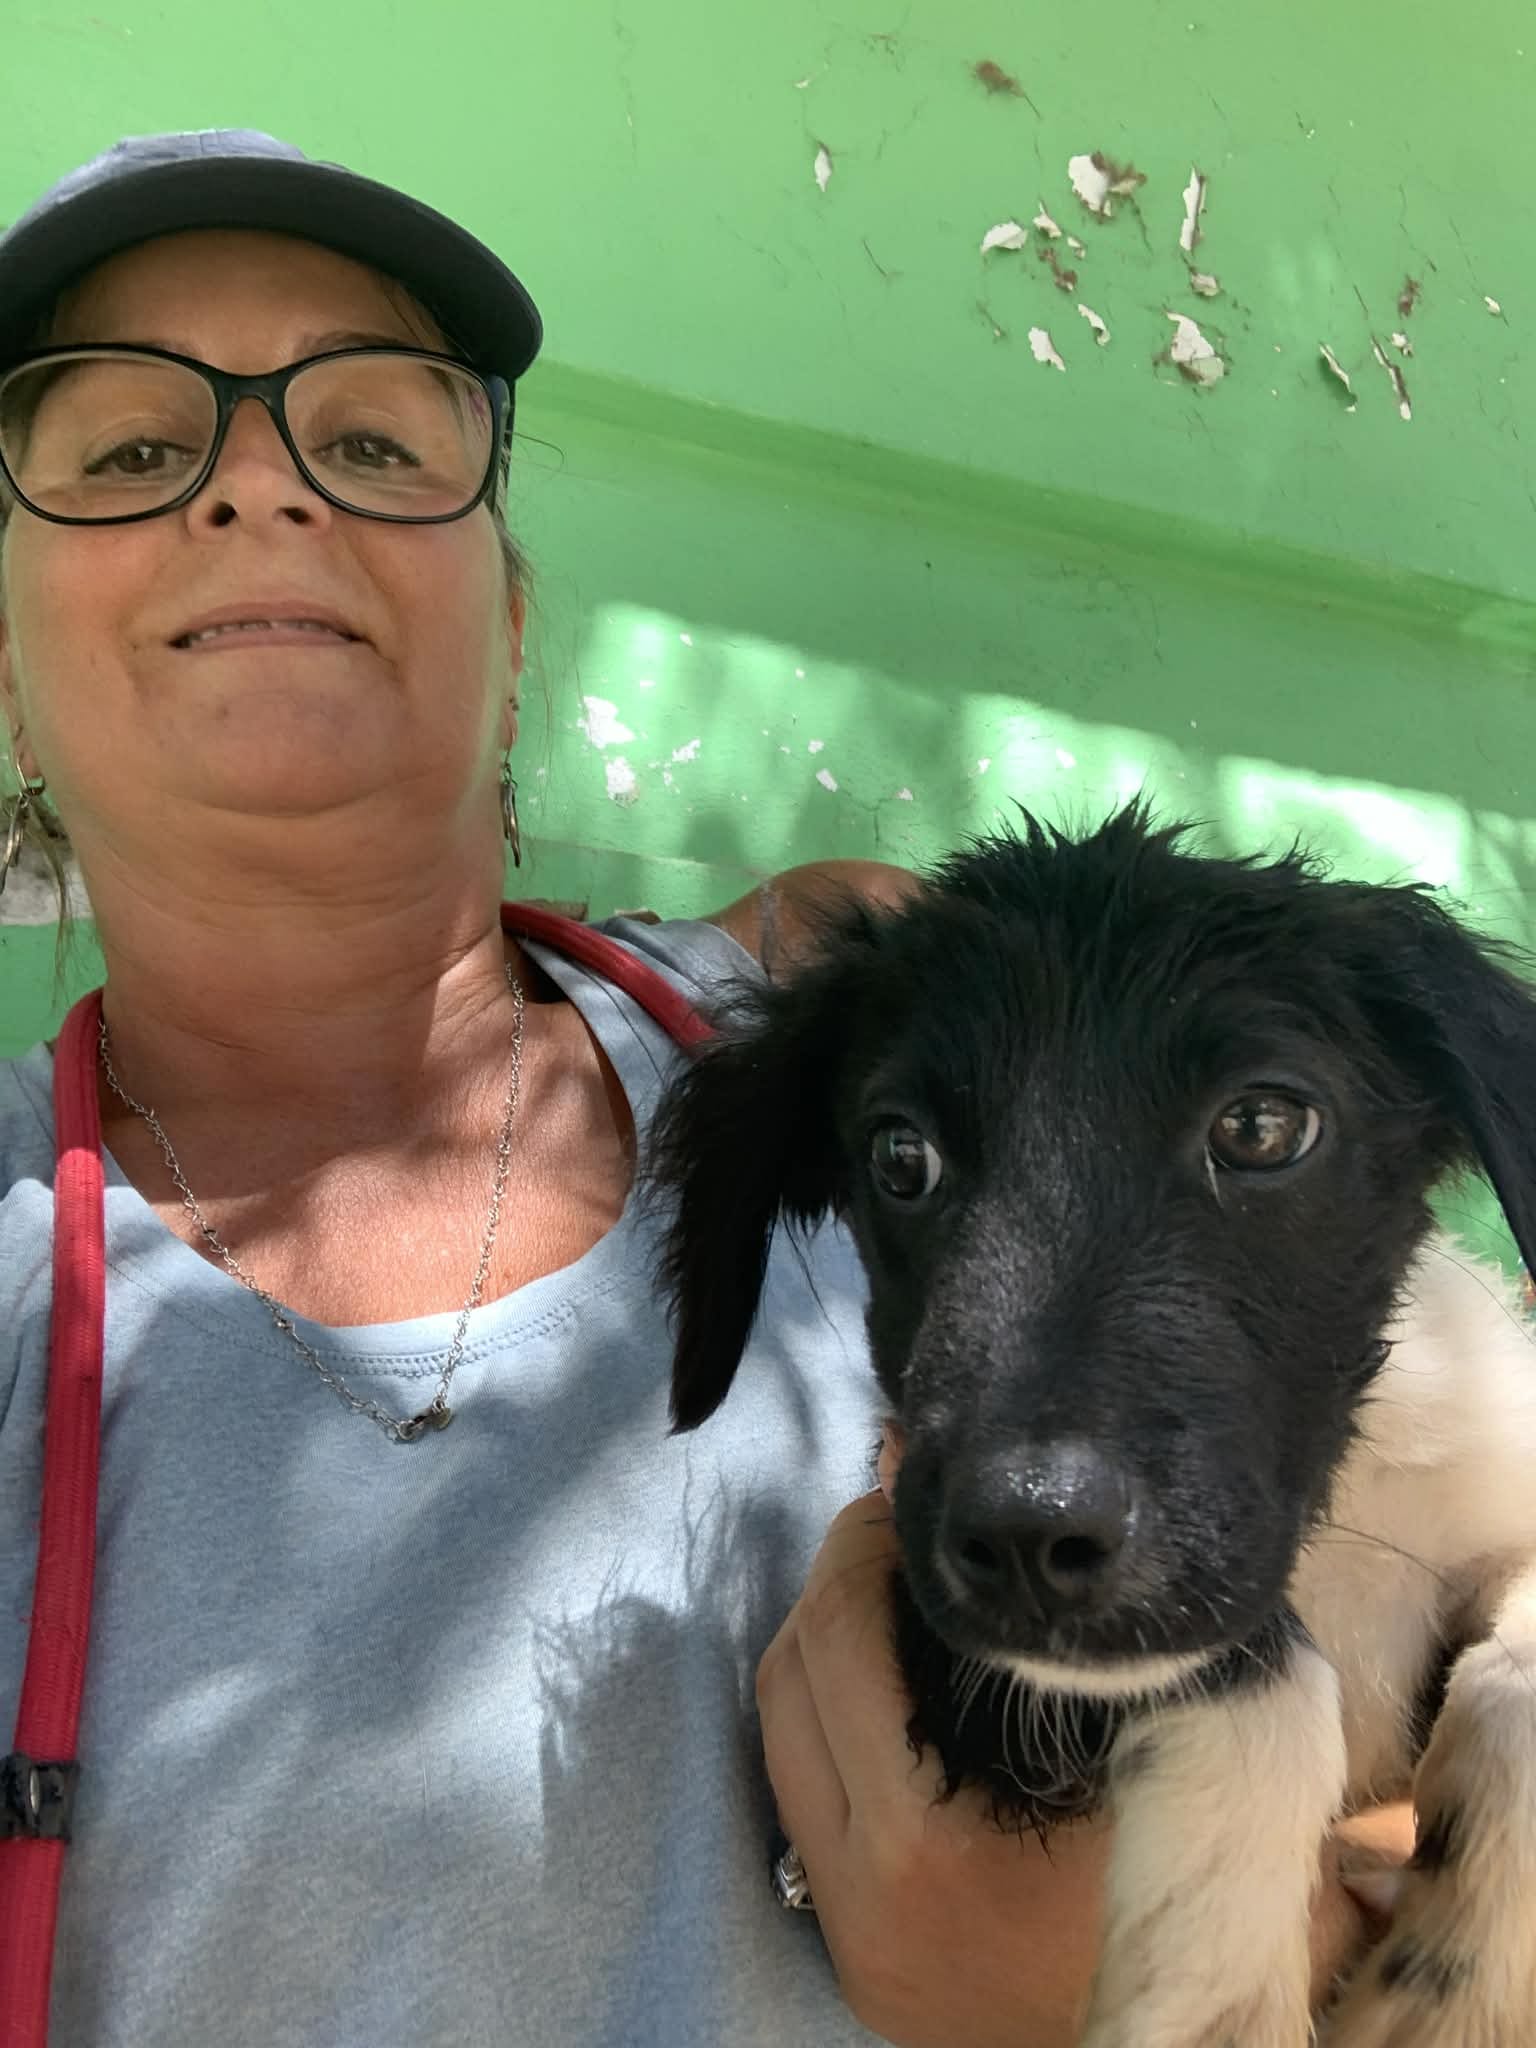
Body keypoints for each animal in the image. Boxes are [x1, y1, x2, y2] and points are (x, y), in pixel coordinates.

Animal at [648, 807, 1536, 2048]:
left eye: (1262, 1124)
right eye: (900, 1154)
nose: (1028, 1533)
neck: (1337, 1505)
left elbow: (1518, 1674)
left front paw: (1451, 1996)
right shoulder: (963, 1648)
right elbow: (1257, 1673)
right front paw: (1218, 1998)